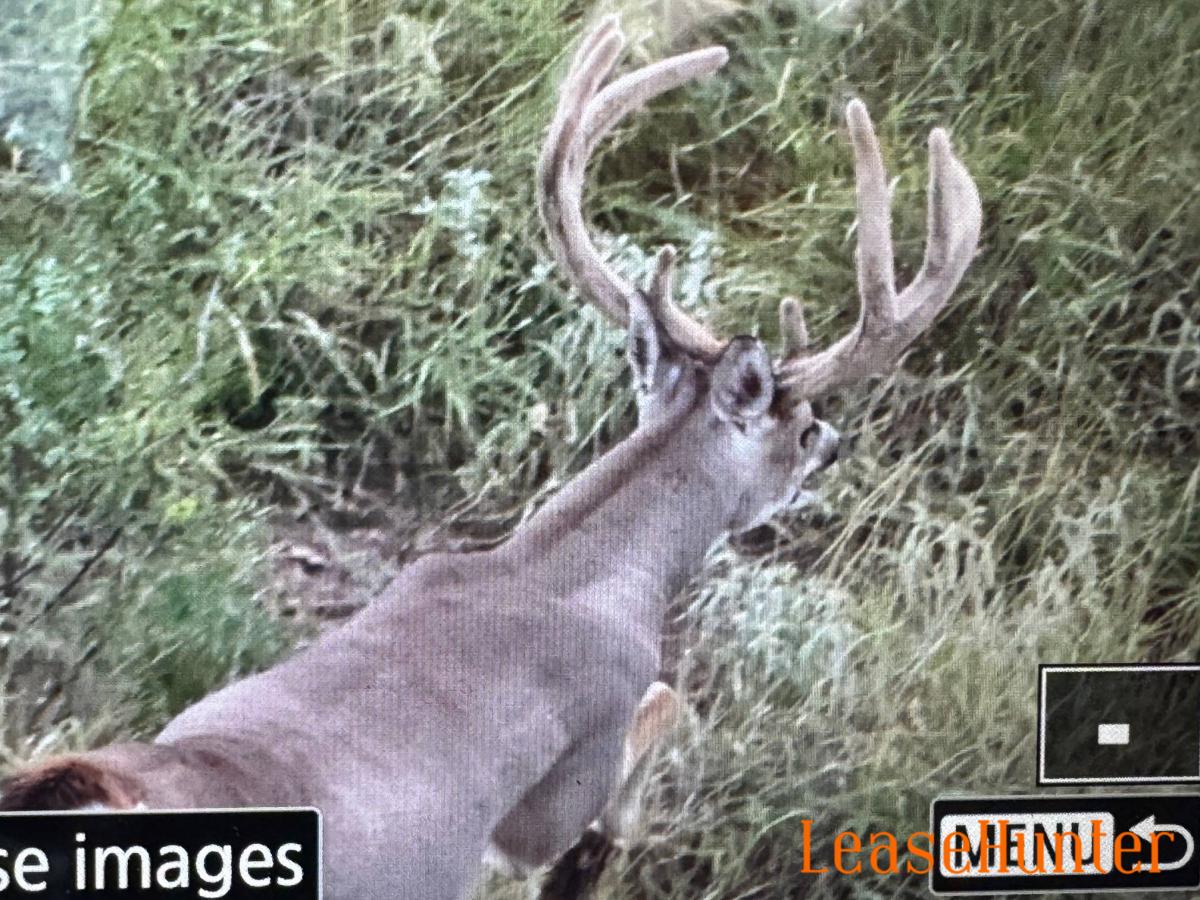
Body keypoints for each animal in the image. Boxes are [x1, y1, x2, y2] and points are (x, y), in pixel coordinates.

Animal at [0, 15, 981, 900]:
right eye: (799, 421)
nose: (833, 443)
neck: (541, 573)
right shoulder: (566, 764)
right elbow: (663, 712)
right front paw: (600, 855)